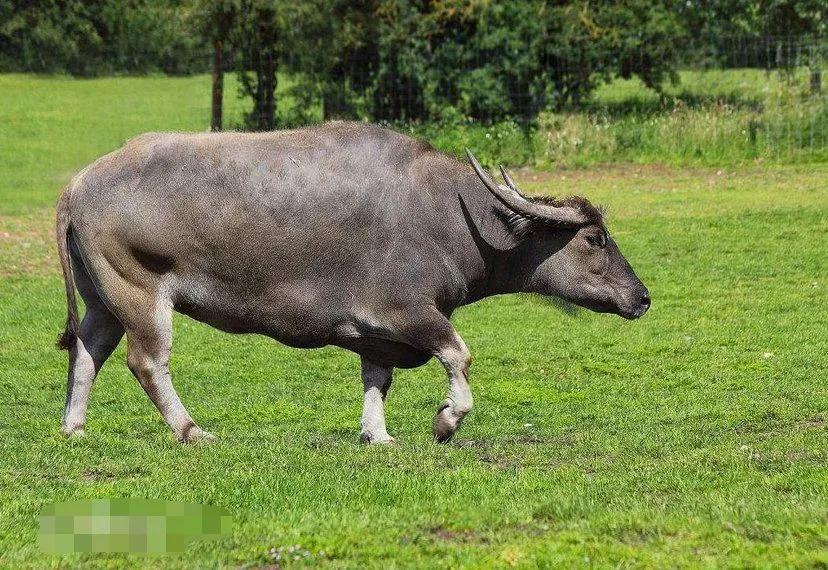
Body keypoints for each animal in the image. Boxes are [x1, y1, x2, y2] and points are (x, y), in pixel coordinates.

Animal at [56, 121, 652, 444]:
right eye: (596, 238)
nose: (642, 297)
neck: (451, 217)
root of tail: (79, 183)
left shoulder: (376, 332)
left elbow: (376, 378)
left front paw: (377, 435)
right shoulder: (410, 312)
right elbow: (460, 355)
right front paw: (446, 420)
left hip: (103, 299)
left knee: (87, 351)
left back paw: (74, 427)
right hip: (141, 292)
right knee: (146, 361)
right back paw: (190, 430)